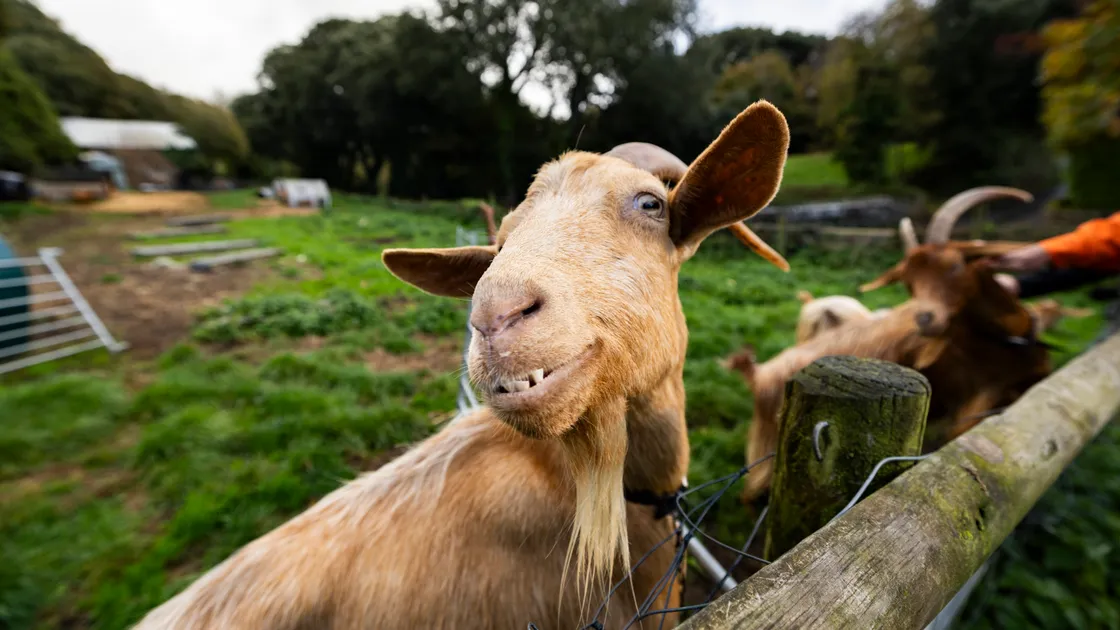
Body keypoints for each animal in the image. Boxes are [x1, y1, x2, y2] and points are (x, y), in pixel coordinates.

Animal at [737, 187, 1055, 503]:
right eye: (908, 282)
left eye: (954, 265)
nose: (925, 319)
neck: (1005, 344)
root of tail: (758, 376)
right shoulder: (974, 404)